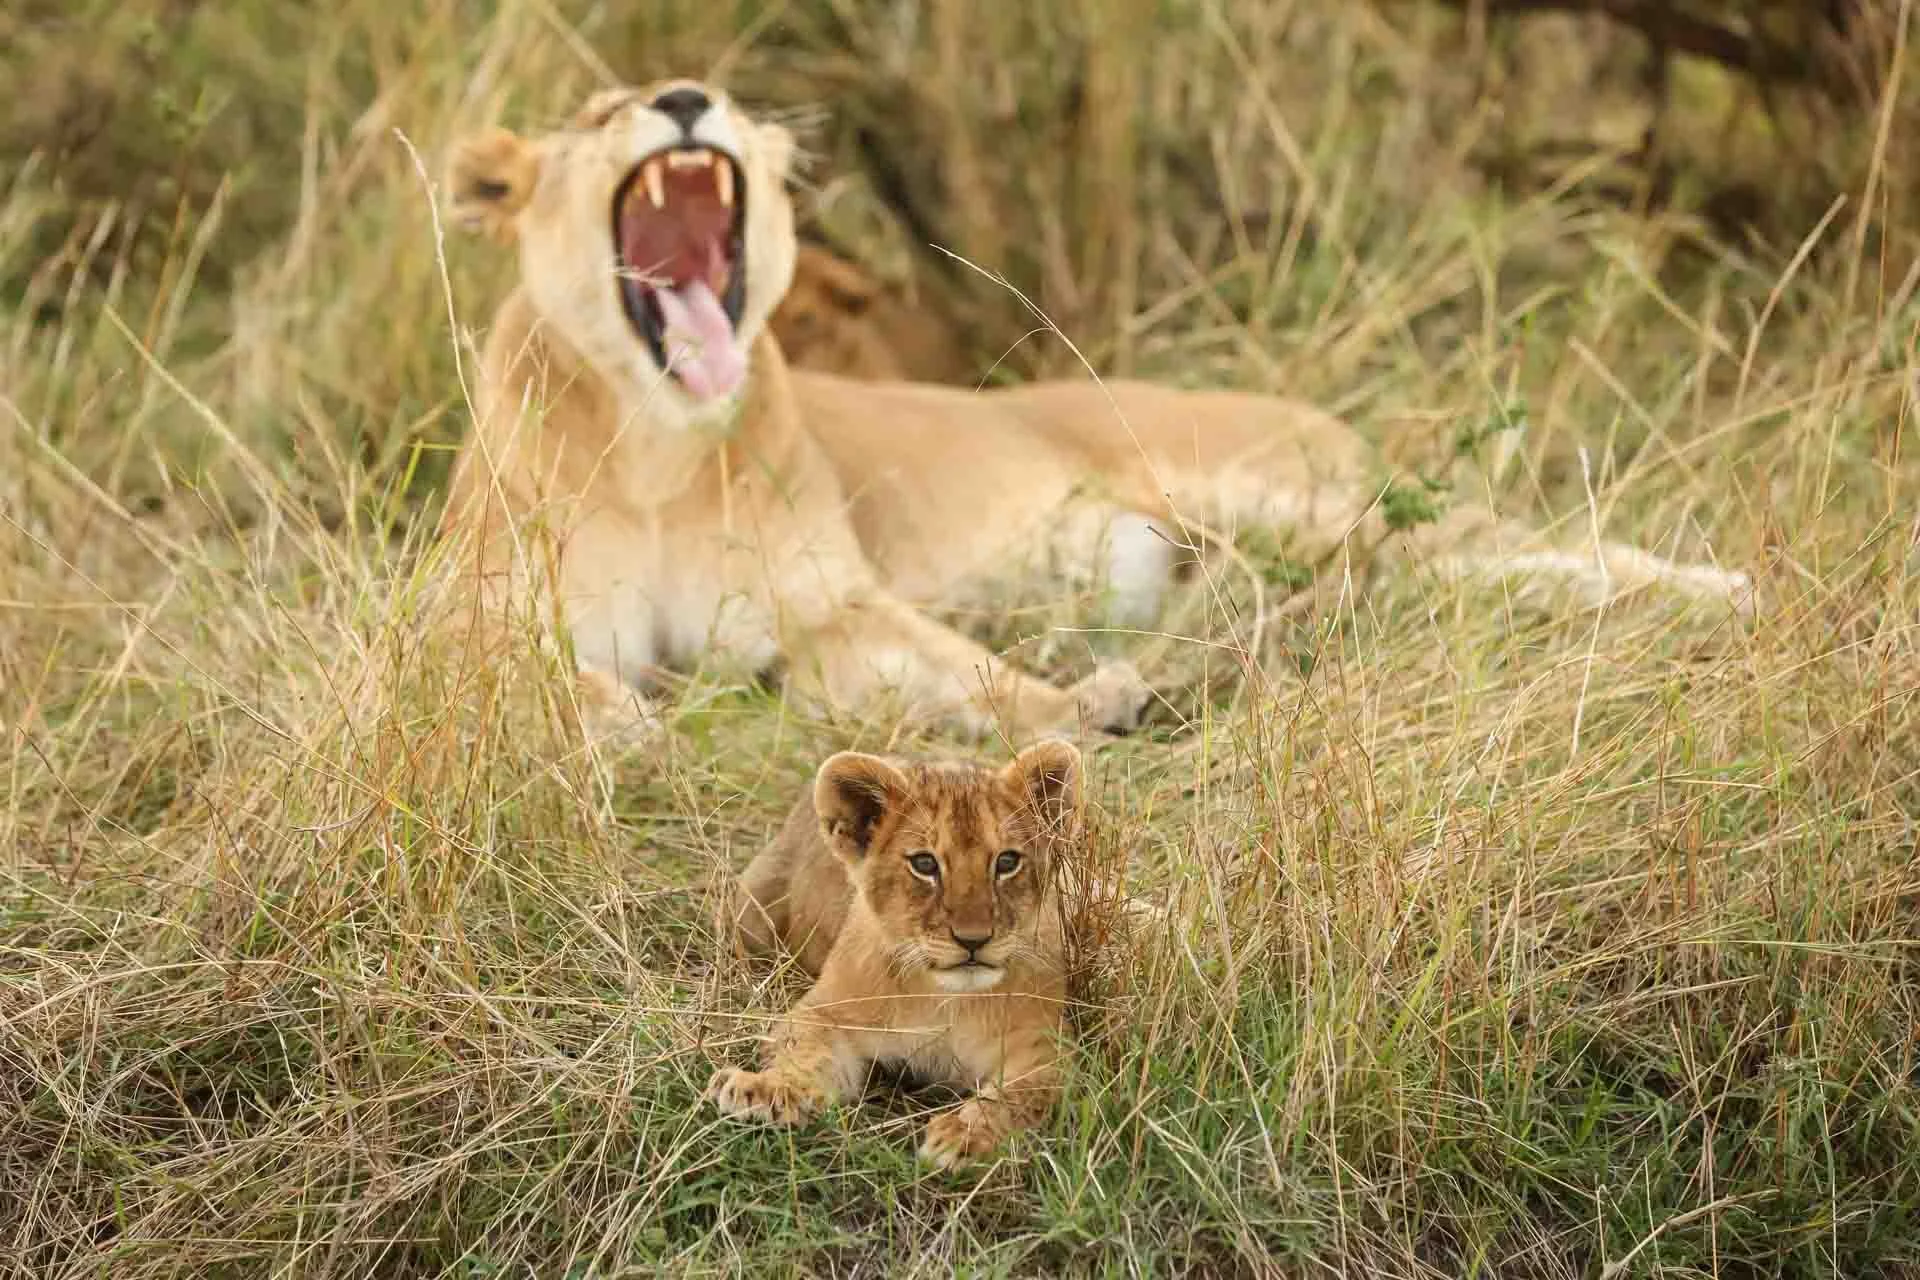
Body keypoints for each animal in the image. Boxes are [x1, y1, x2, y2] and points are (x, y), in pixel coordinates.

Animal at [441, 79, 1752, 742]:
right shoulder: (465, 623)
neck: (658, 447)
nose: (681, 98)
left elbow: (971, 671)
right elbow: (530, 672)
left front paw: (1082, 702)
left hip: (1298, 502)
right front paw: (620, 716)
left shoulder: (832, 612)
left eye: (710, 96)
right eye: (601, 112)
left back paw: (1726, 589)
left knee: (1525, 545)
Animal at [708, 740, 1082, 1168]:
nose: (973, 940)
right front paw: (766, 1090)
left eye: (1006, 862)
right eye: (924, 864)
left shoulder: (1044, 1046)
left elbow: (1019, 1095)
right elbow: (803, 1052)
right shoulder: (826, 1012)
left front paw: (965, 1134)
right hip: (747, 913)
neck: (945, 998)